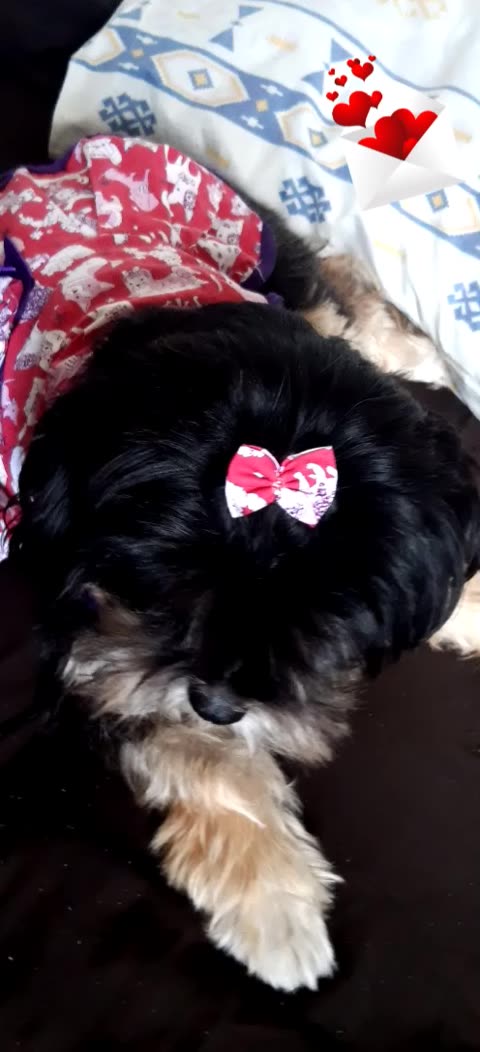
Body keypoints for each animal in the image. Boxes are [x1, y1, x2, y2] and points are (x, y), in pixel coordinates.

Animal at [4, 139, 480, 992]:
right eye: (168, 590)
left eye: (323, 617)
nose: (221, 704)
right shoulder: (90, 638)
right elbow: (200, 754)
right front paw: (274, 902)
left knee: (328, 288)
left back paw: (415, 349)